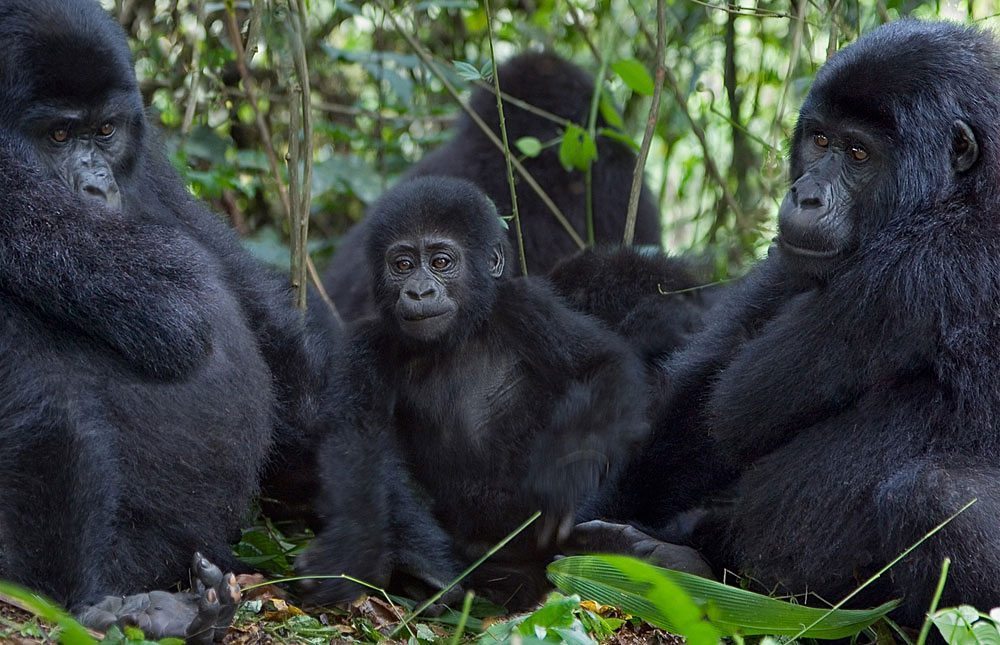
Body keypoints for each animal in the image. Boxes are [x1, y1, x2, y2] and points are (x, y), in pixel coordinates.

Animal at [296, 177, 648, 608]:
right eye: (403, 265)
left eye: (441, 262)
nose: (419, 292)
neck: (457, 338)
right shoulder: (364, 345)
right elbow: (357, 442)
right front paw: (350, 554)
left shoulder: (527, 306)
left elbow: (603, 364)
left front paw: (567, 471)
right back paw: (426, 572)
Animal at [596, 21, 1000, 624]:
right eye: (821, 141)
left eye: (858, 153)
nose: (805, 195)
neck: (969, 189)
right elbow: (700, 387)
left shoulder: (924, 266)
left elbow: (737, 406)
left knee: (933, 498)